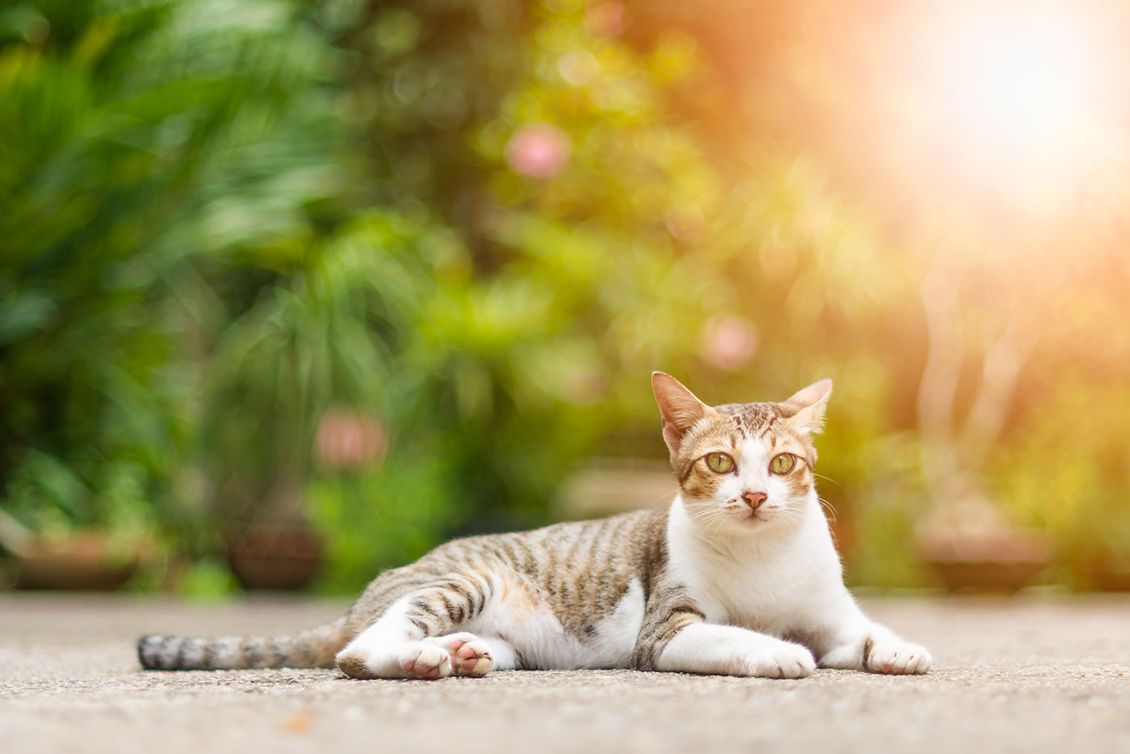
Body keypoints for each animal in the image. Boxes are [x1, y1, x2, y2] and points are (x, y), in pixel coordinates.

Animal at [141, 375, 931, 682]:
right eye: (719, 462)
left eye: (785, 462)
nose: (759, 495)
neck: (763, 555)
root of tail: (368, 592)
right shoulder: (666, 631)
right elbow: (733, 636)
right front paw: (777, 652)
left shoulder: (829, 613)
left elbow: (861, 632)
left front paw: (897, 647)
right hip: (459, 581)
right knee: (359, 651)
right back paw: (416, 656)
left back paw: (458, 654)